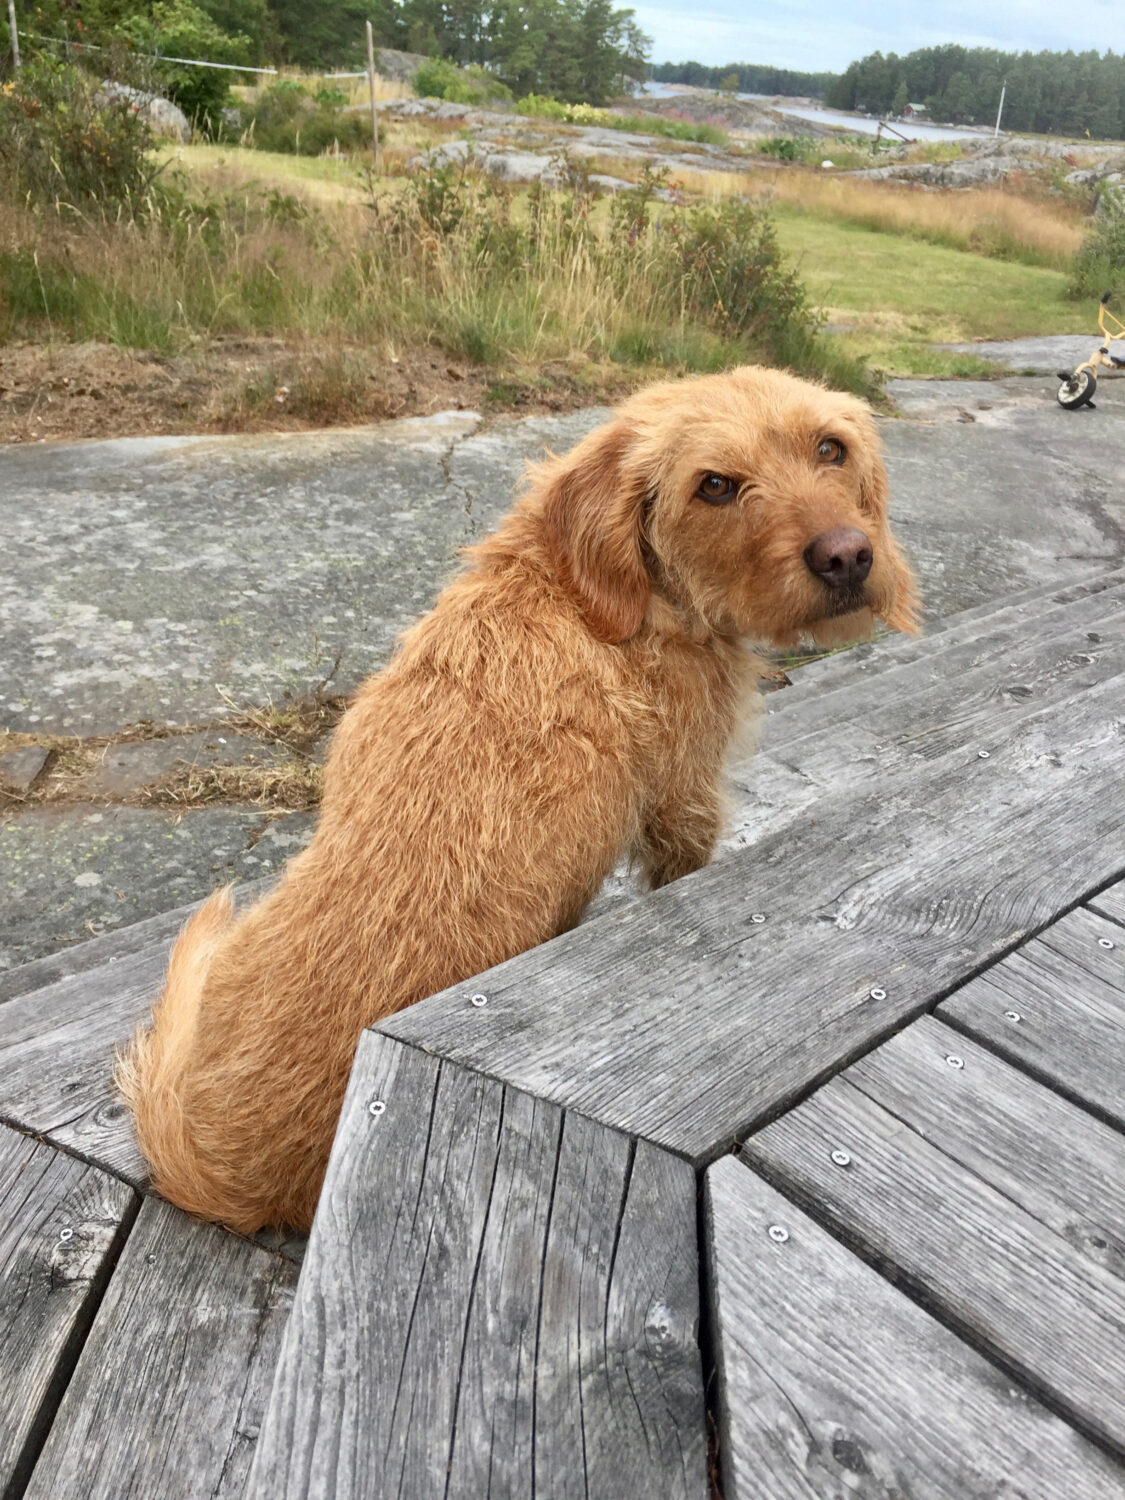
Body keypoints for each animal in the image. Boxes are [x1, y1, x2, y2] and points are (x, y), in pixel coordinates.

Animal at [119, 363, 918, 1230]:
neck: (585, 588)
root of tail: (218, 1175)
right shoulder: (684, 801)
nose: (846, 556)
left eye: (829, 448)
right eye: (714, 485)